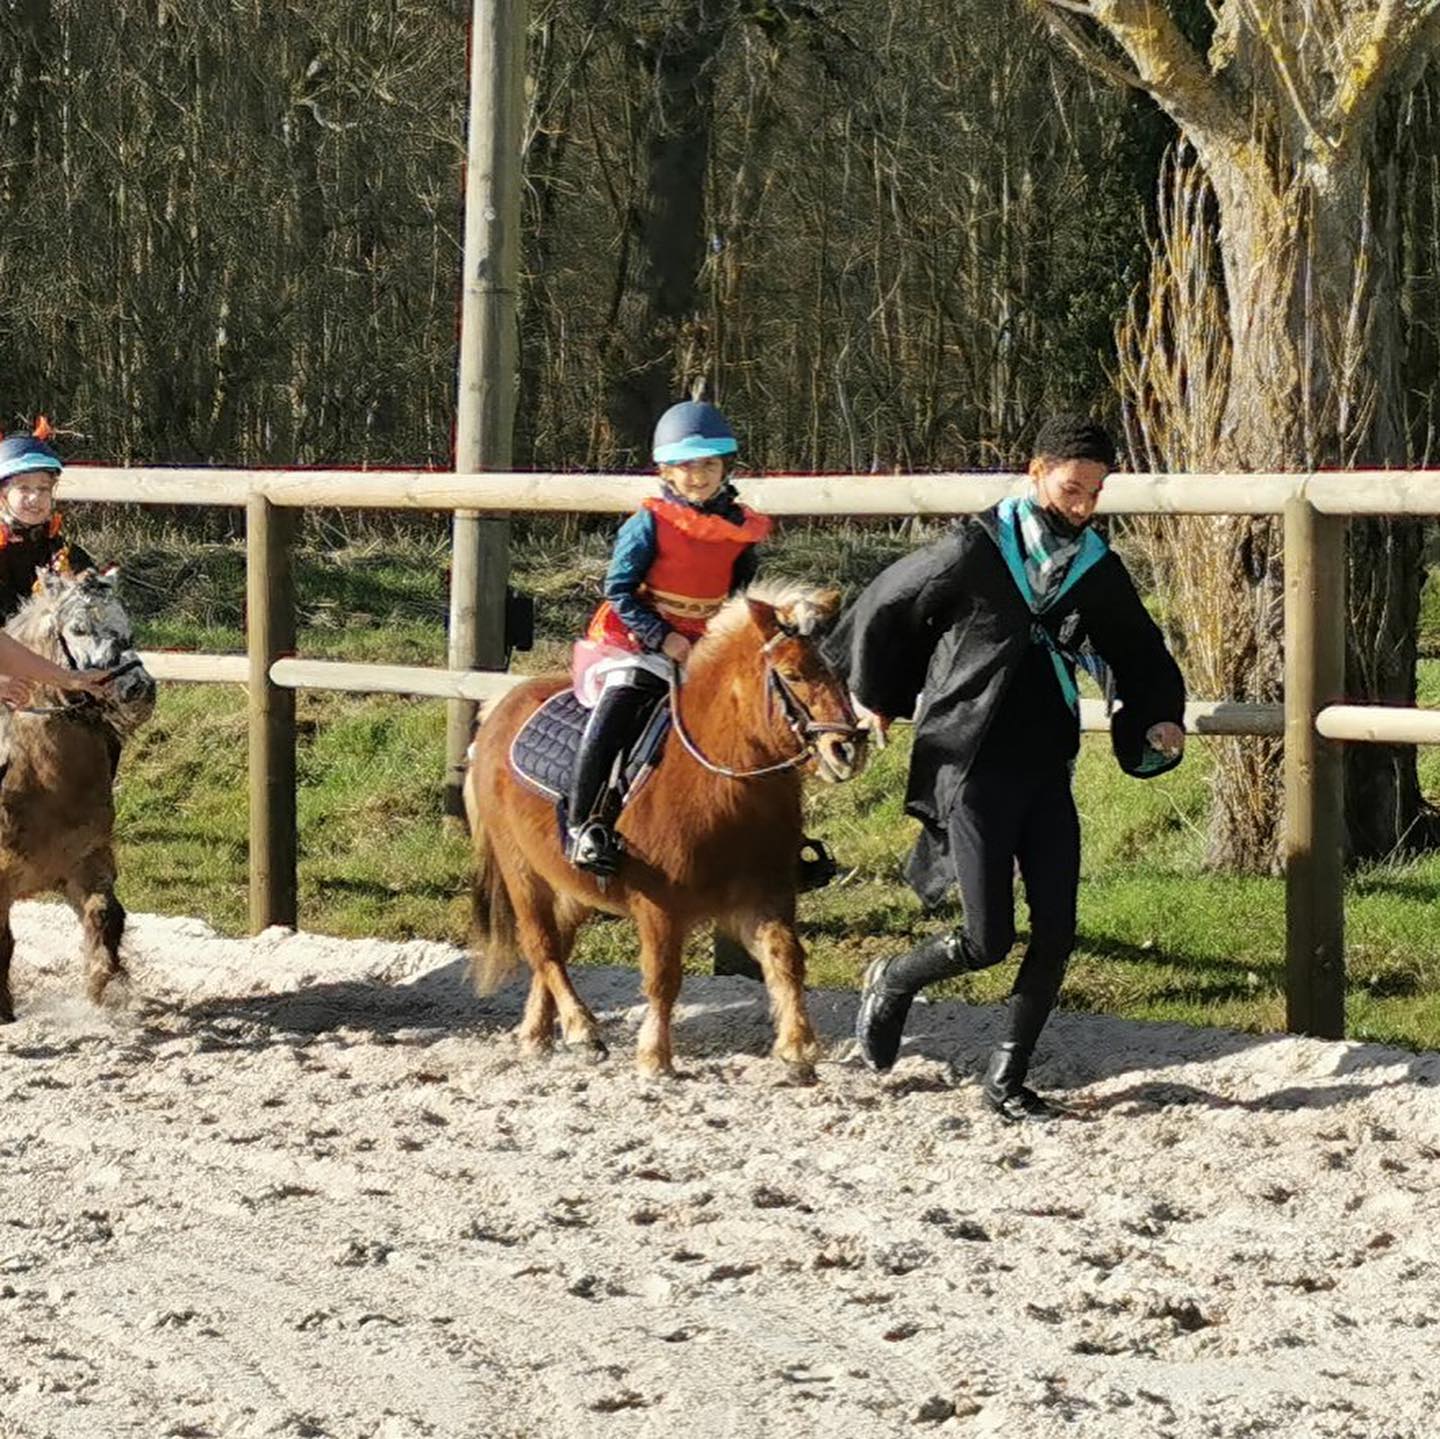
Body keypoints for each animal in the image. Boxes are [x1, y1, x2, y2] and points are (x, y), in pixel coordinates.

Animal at [466, 584, 858, 1083]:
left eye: (840, 673)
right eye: (792, 674)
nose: (846, 749)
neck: (723, 782)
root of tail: (499, 708)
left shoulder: (762, 896)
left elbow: (786, 959)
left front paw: (798, 1049)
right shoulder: (660, 906)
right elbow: (663, 977)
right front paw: (655, 1056)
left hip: (569, 883)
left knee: (556, 945)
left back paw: (537, 1034)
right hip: (521, 869)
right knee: (543, 947)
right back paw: (581, 1029)